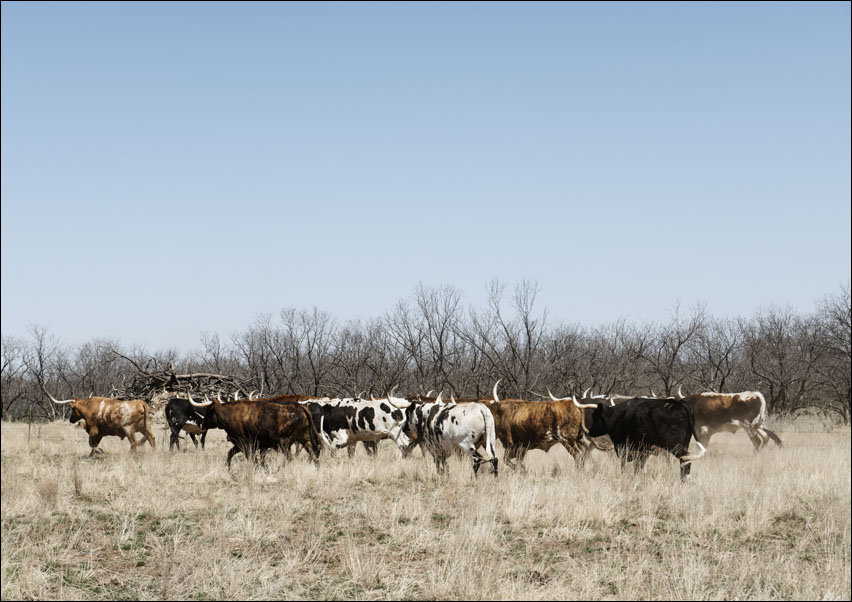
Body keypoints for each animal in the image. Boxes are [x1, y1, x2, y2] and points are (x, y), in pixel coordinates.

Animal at [188, 393, 321, 468]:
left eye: (208, 410)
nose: (203, 424)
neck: (230, 414)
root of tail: (299, 407)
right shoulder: (240, 445)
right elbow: (230, 455)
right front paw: (228, 468)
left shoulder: (245, 444)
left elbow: (252, 460)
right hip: (305, 439)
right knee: (314, 455)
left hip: (284, 443)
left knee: (290, 458)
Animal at [571, 396, 706, 480]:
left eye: (595, 416)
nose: (590, 432)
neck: (617, 416)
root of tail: (680, 403)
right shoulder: (642, 452)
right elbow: (638, 467)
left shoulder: (624, 448)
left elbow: (624, 466)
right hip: (684, 443)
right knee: (686, 461)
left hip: (675, 446)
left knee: (685, 459)